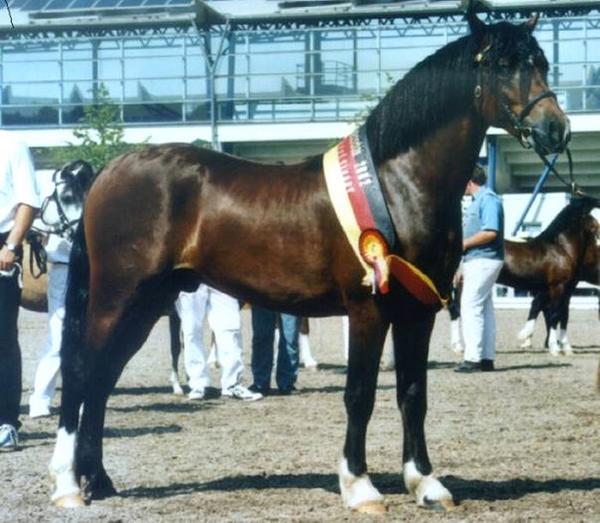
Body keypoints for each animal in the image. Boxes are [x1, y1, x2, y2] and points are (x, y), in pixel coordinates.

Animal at [48, 6, 570, 513]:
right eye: (503, 65)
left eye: (542, 63)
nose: (556, 128)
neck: (398, 183)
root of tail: (112, 170)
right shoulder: (368, 308)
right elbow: (360, 394)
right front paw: (359, 486)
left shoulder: (417, 311)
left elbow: (413, 394)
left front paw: (425, 483)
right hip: (116, 299)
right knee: (80, 374)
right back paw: (70, 487)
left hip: (148, 304)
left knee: (102, 379)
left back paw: (100, 481)